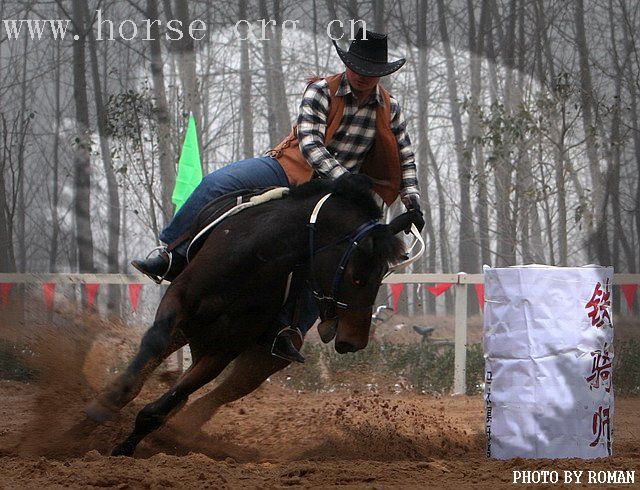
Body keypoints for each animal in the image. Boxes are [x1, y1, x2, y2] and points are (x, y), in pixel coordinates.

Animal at [81, 173, 420, 456]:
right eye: (358, 276)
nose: (354, 341)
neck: (257, 256)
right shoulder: (178, 304)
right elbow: (148, 354)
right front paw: (93, 415)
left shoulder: (225, 348)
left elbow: (169, 402)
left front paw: (126, 446)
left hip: (256, 362)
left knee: (215, 397)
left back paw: (178, 433)